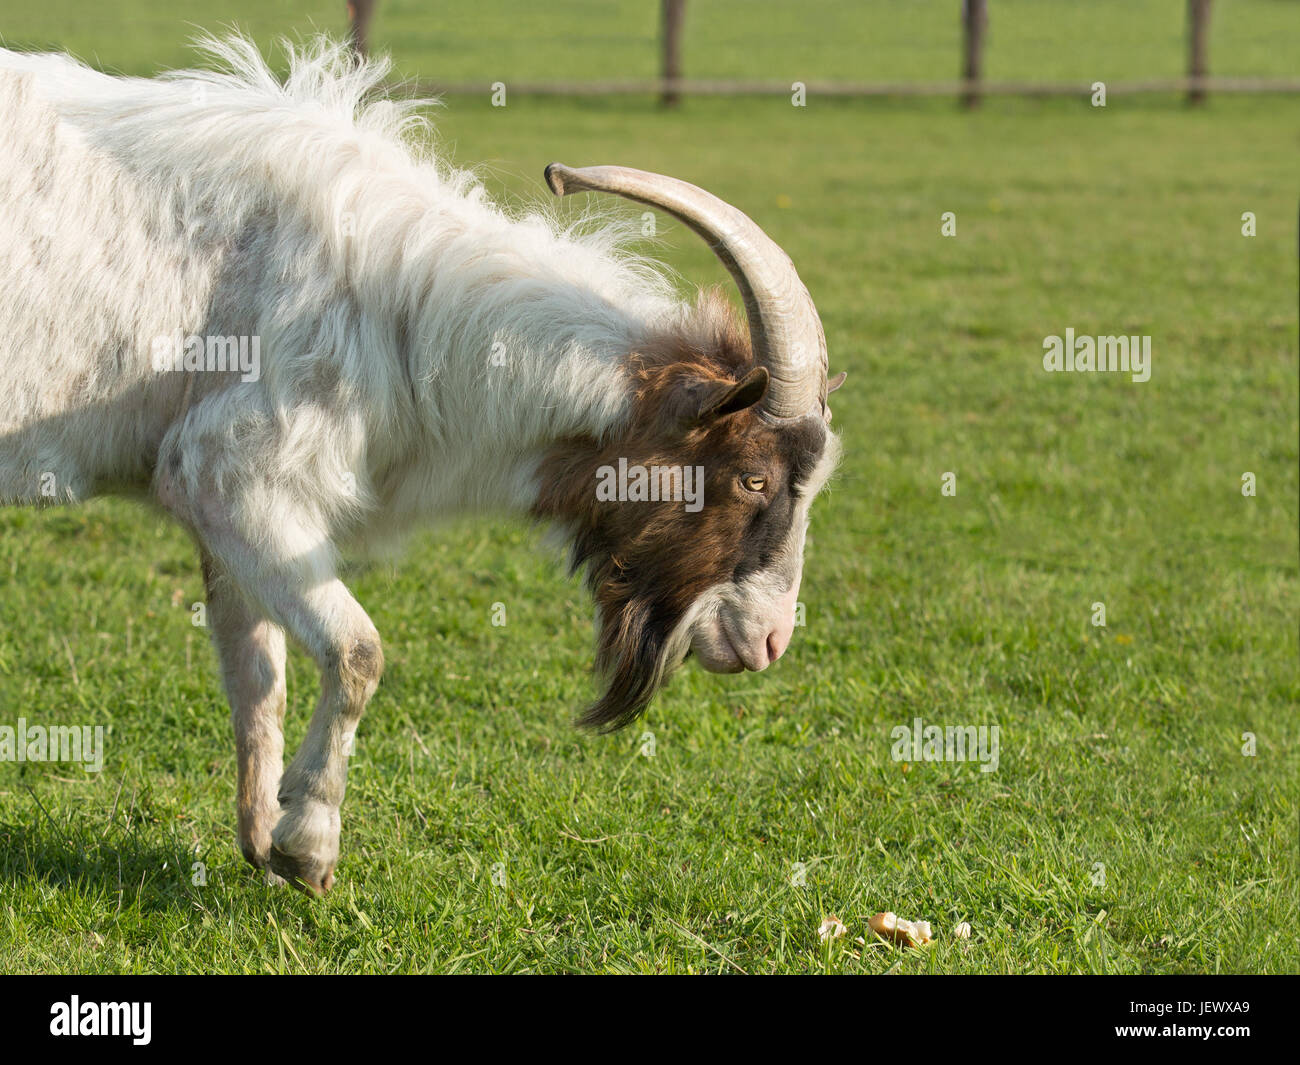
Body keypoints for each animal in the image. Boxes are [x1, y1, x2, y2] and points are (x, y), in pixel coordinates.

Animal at [0, 37, 847, 894]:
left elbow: (257, 674)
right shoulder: (231, 474)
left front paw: (263, 841)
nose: (770, 640)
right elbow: (358, 650)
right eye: (753, 477)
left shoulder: (218, 511)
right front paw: (309, 845)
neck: (397, 307)